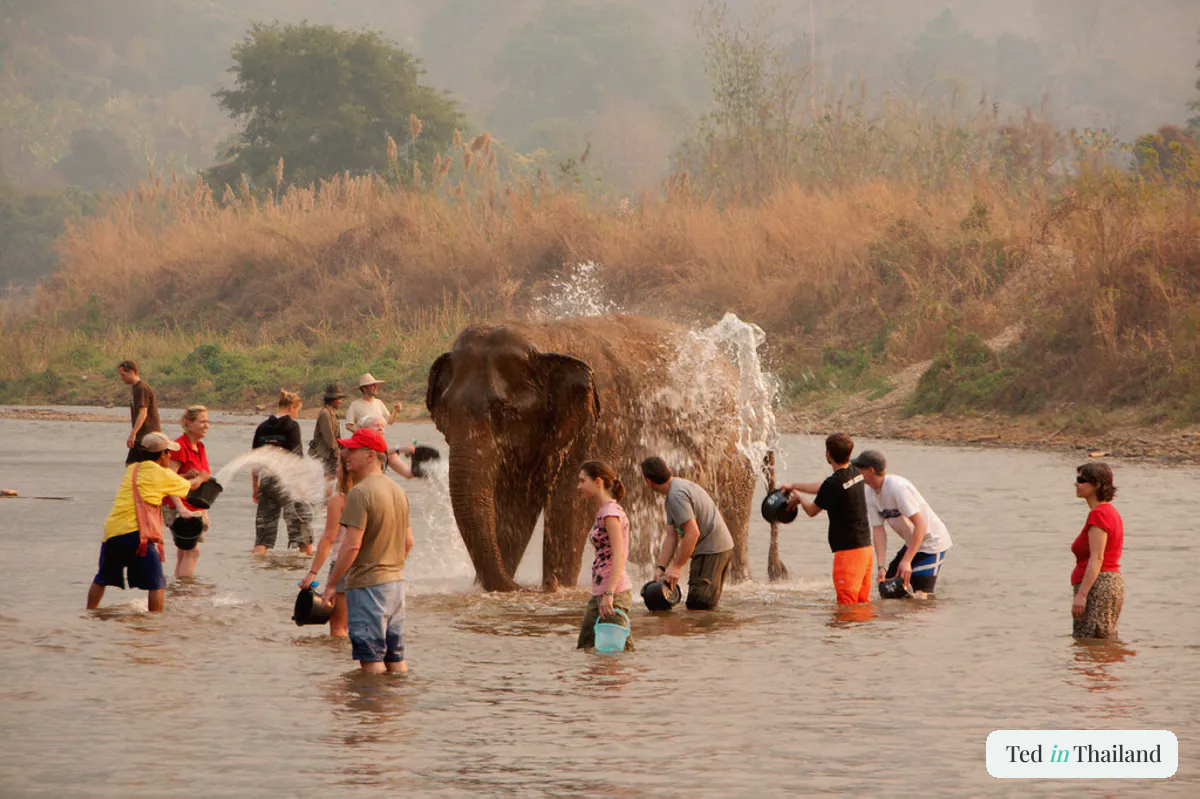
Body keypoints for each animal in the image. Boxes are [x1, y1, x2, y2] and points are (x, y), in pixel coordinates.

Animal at [425, 314, 766, 592]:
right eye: (445, 414)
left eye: (504, 412)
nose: (526, 587)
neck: (545, 336)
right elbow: (514, 506)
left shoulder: (601, 424)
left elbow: (570, 504)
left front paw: (559, 586)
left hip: (735, 454)